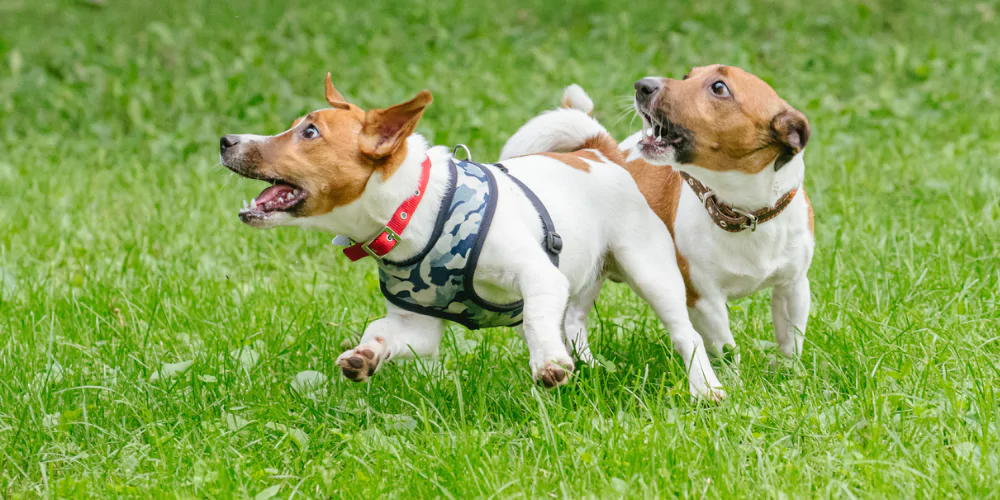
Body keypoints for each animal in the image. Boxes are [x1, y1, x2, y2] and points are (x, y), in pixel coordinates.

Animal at [219, 72, 724, 398]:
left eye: (309, 132)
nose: (225, 140)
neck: (416, 208)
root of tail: (598, 154)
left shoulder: (539, 277)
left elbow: (536, 322)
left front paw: (547, 362)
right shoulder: (416, 327)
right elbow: (381, 330)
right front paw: (366, 354)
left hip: (650, 271)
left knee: (687, 335)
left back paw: (705, 388)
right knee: (574, 322)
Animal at [504, 65, 816, 364]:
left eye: (719, 87)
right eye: (687, 75)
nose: (643, 84)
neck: (744, 214)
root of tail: (597, 150)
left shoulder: (794, 287)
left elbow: (791, 343)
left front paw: (789, 373)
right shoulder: (703, 300)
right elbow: (728, 351)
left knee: (572, 319)